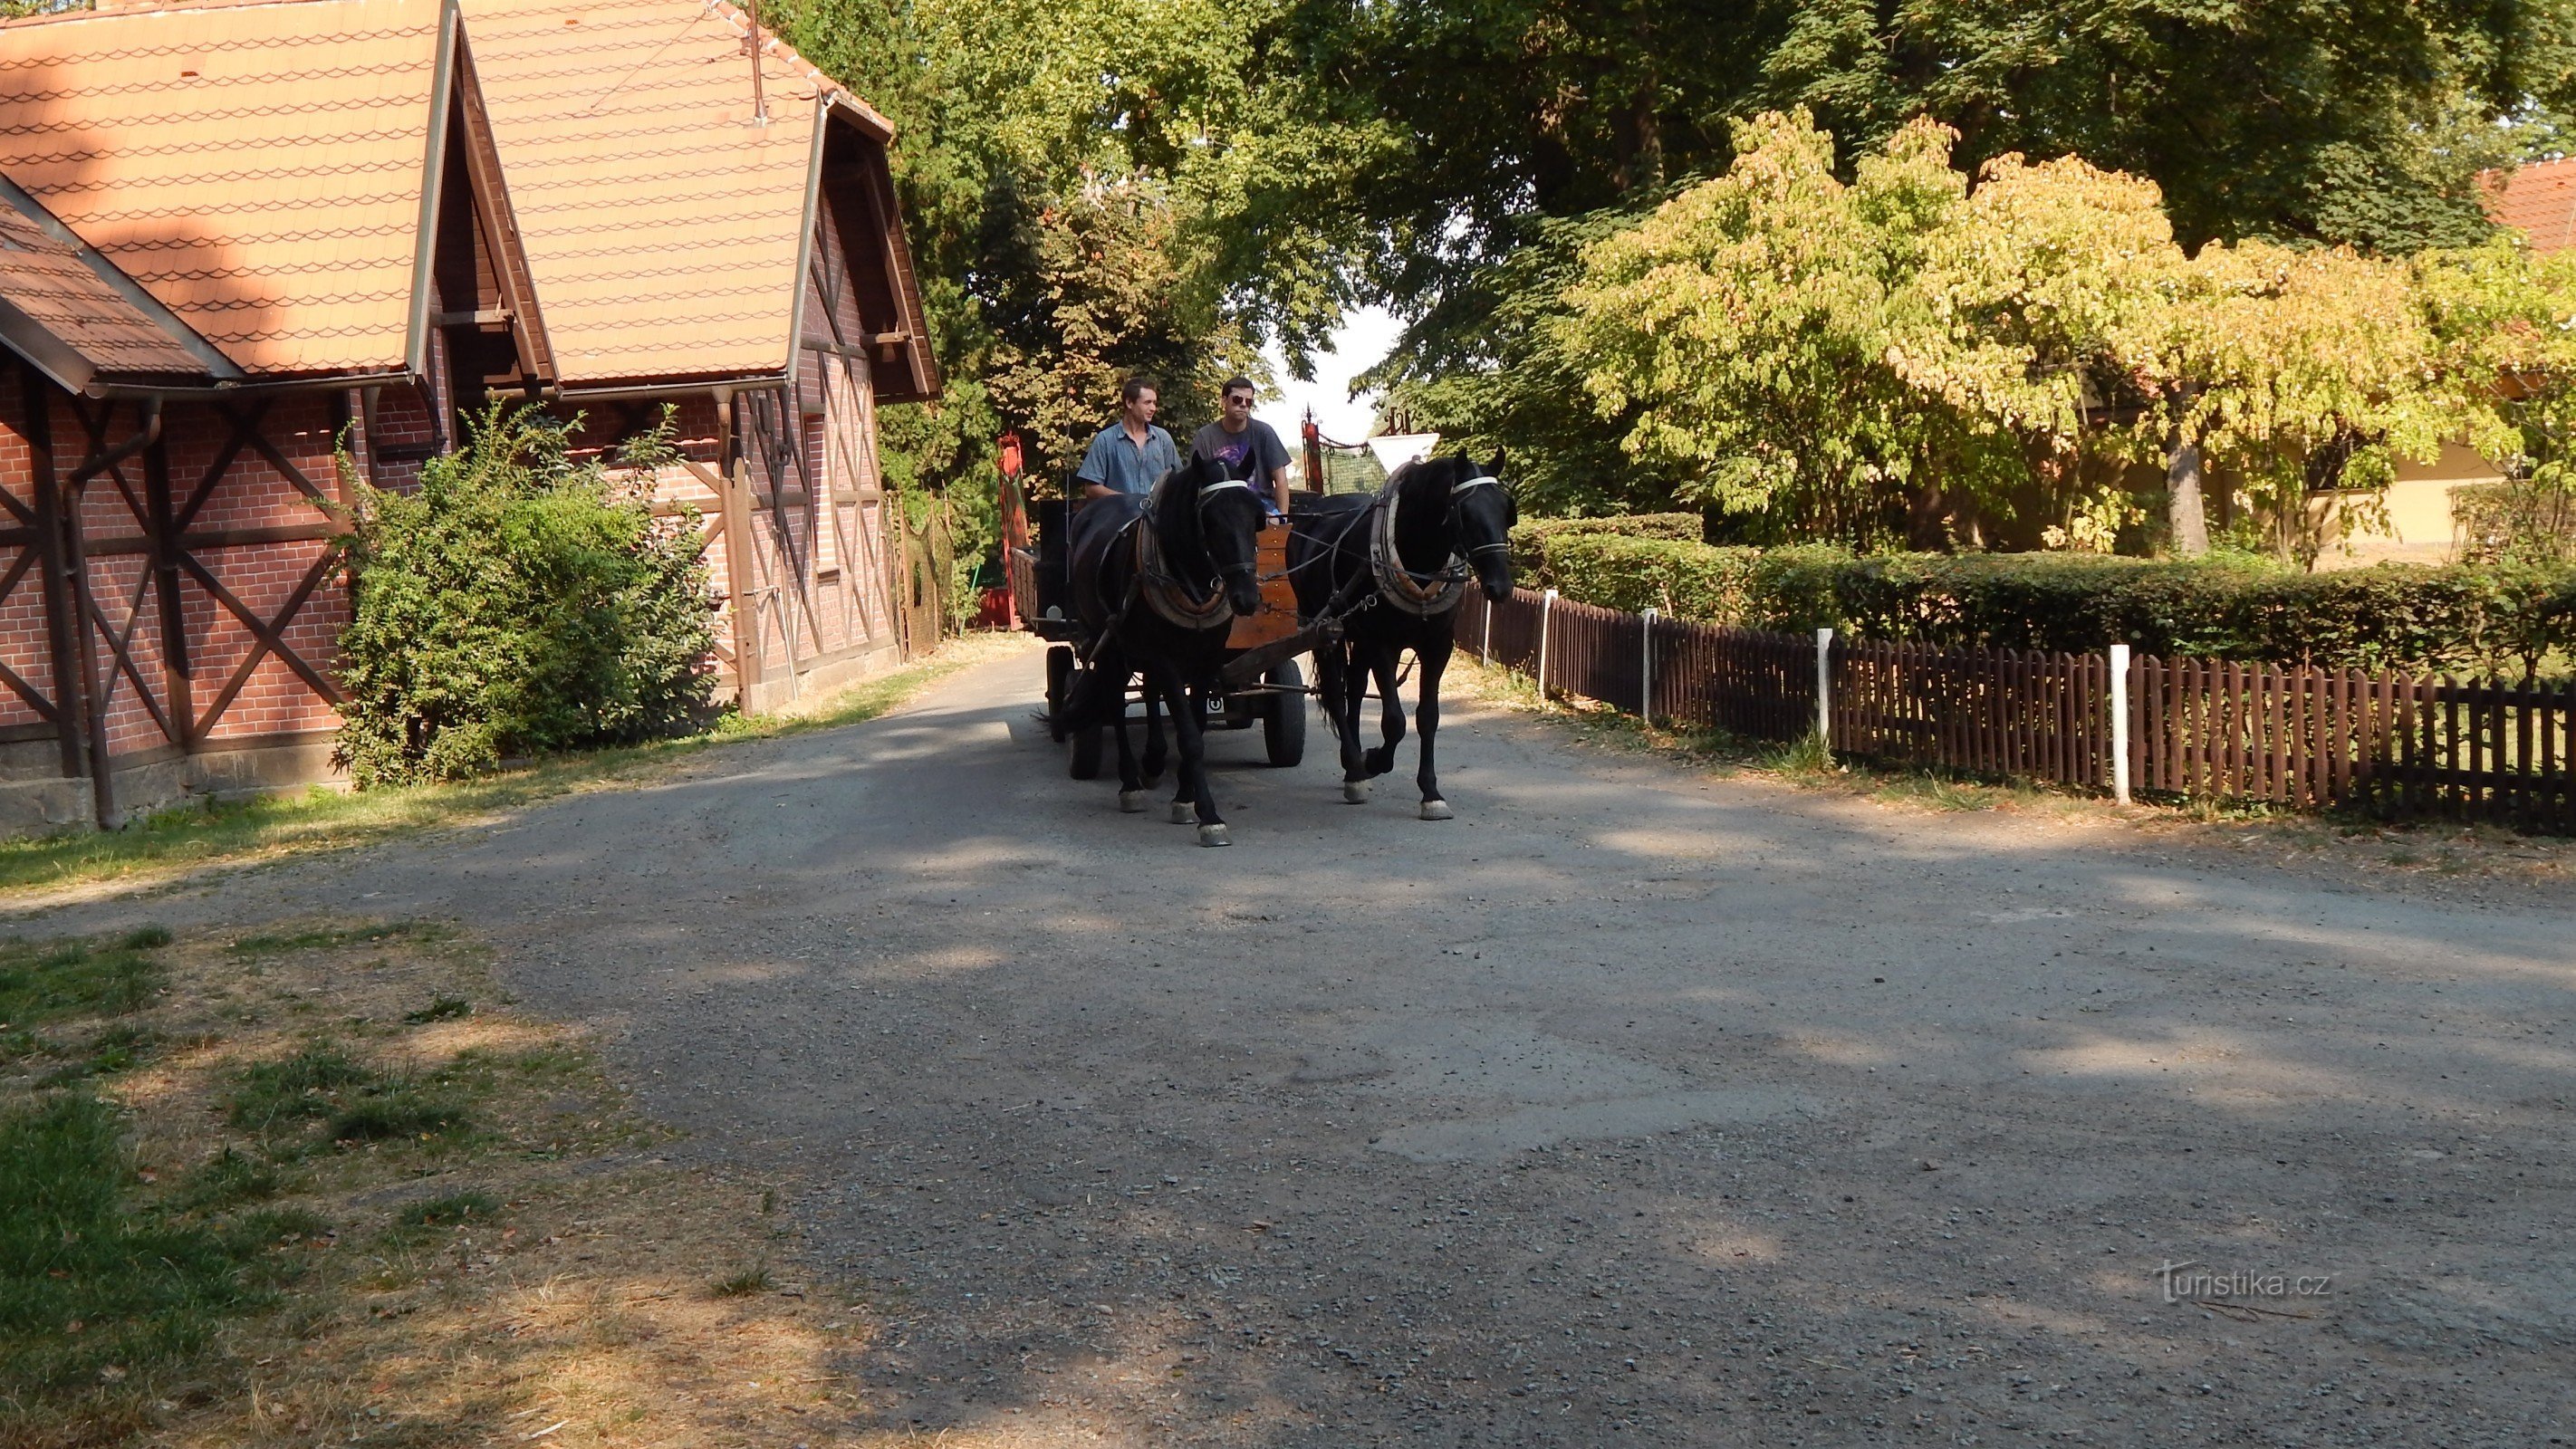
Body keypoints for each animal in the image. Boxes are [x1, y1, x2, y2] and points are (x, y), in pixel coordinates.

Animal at [1066, 457, 1267, 844]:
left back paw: (1154, 759)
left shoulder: (1206, 660)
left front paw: (1184, 799)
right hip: (1106, 642)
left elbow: (1197, 725)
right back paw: (1131, 784)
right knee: (1115, 704)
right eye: (1211, 519)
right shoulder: (1165, 658)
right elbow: (1189, 736)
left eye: (1255, 517)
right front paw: (1209, 816)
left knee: (1147, 691)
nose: (1247, 598)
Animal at [1283, 456, 1504, 818]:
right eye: (1465, 513)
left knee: (1355, 687)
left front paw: (1431, 792)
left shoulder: (1437, 645)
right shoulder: (1382, 643)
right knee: (1336, 692)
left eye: (1505, 509)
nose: (1501, 585)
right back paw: (1355, 769)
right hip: (1324, 630)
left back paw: (1352, 763)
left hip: (1356, 636)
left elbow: (1428, 717)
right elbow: (1395, 721)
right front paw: (1374, 760)